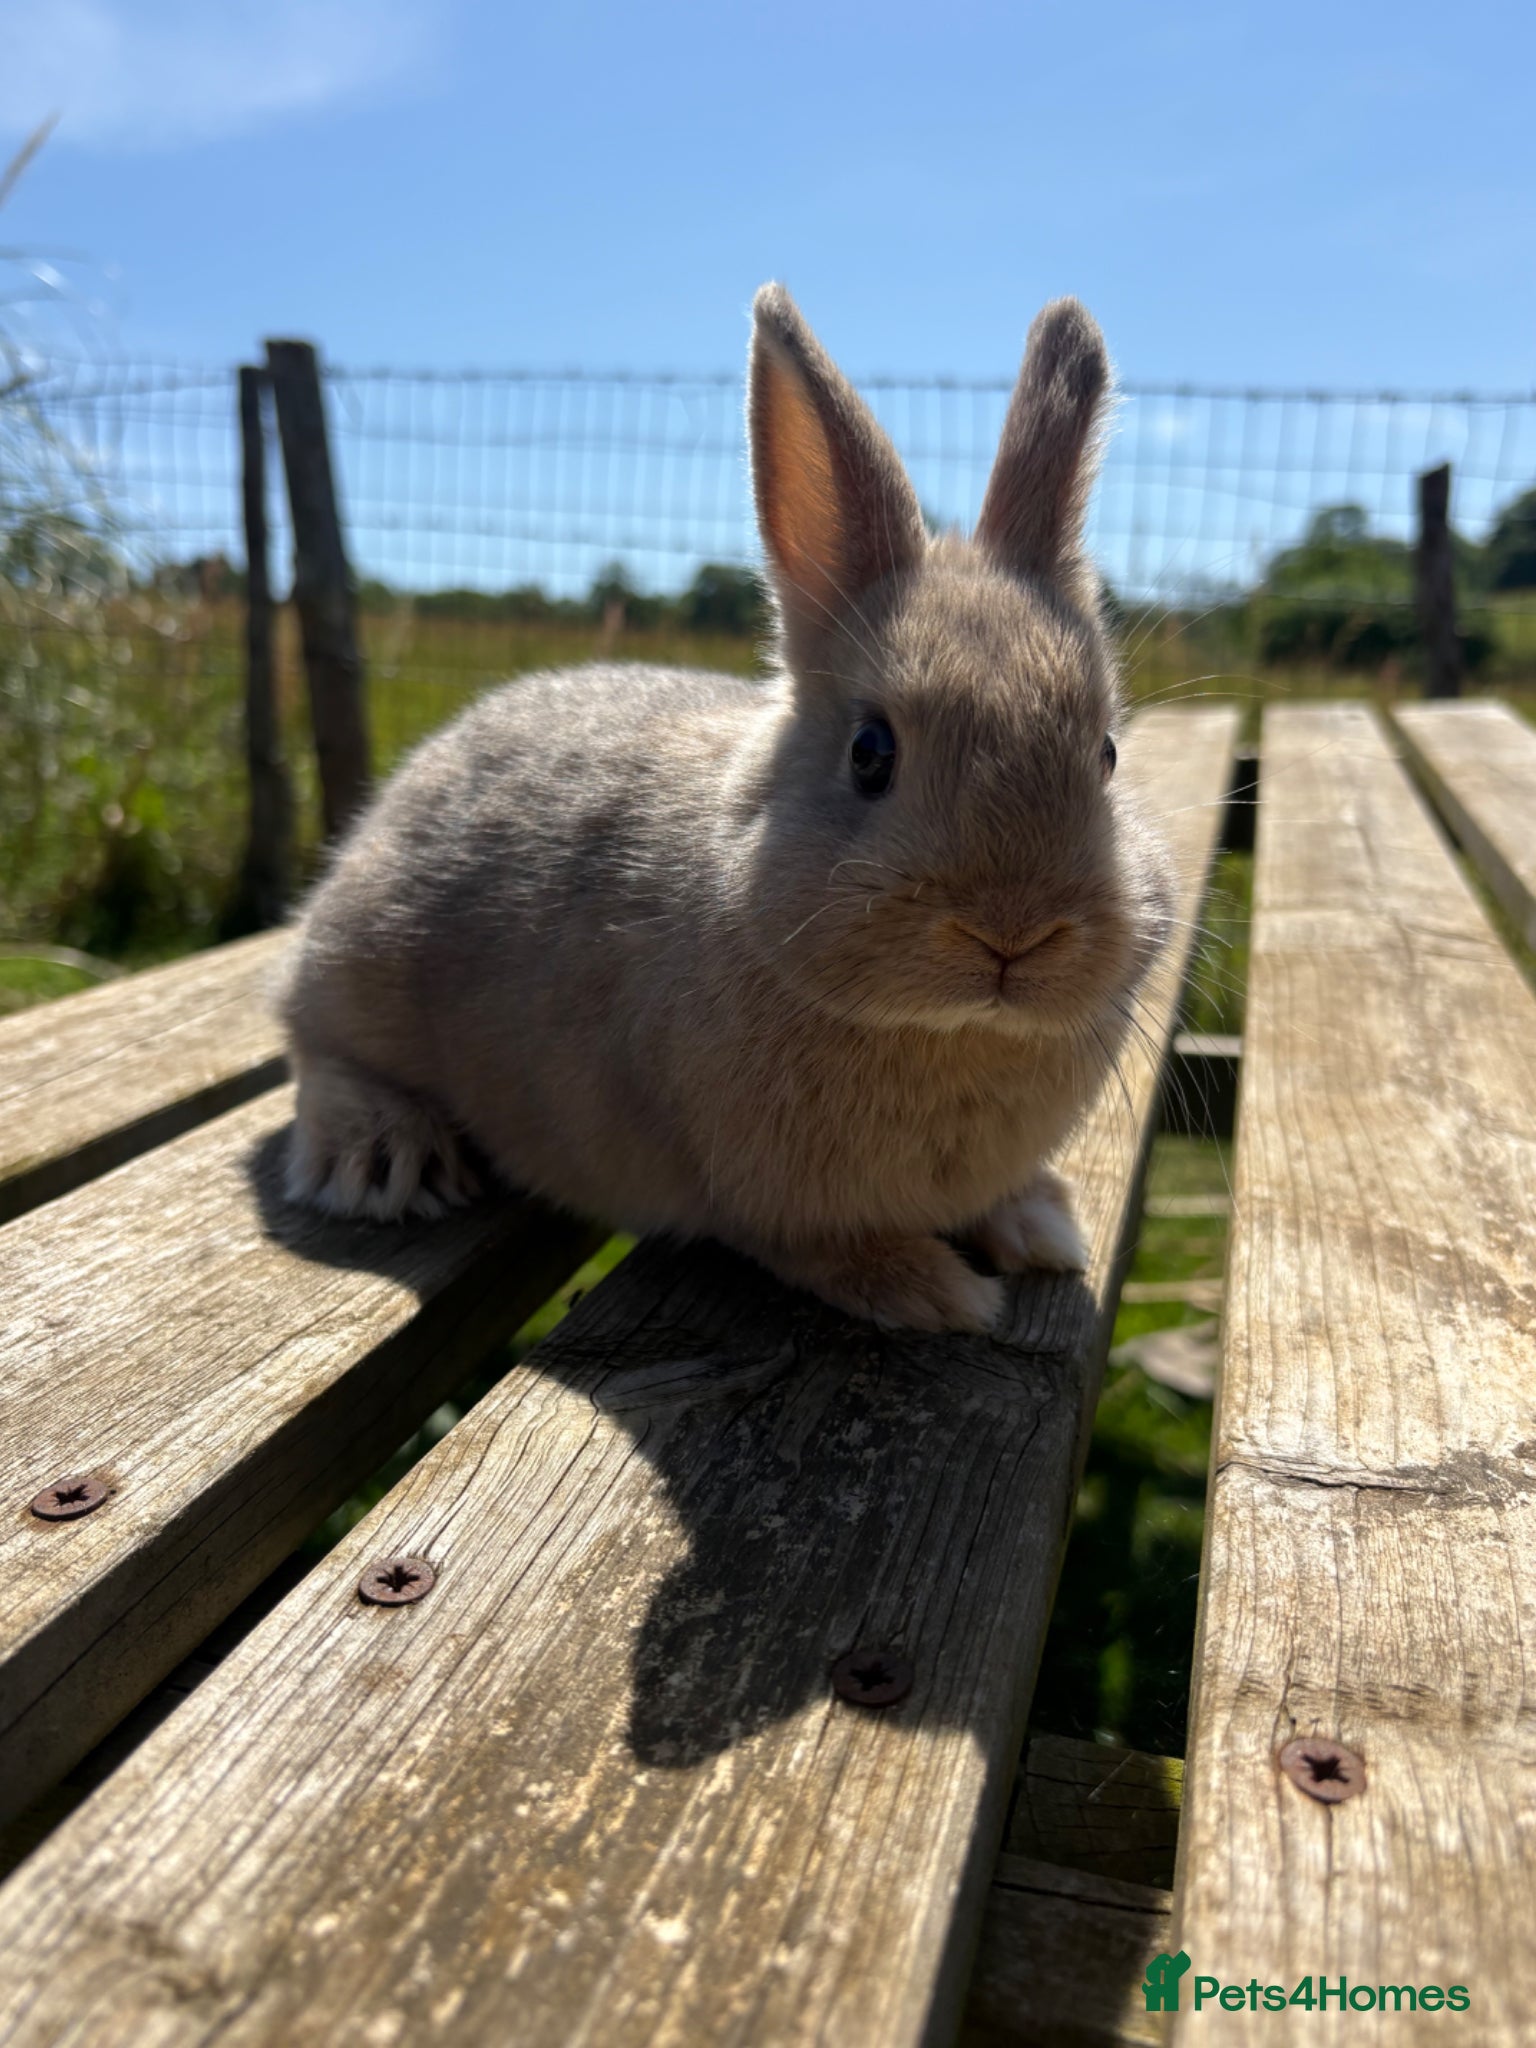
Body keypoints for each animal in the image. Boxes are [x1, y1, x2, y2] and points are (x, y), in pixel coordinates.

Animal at [280, 284, 1176, 1334]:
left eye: (1107, 755)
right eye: (870, 754)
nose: (1015, 934)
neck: (952, 1031)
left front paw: (1039, 1230)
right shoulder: (764, 1193)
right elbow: (819, 1247)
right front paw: (938, 1294)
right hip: (359, 965)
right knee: (315, 1048)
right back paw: (384, 1156)